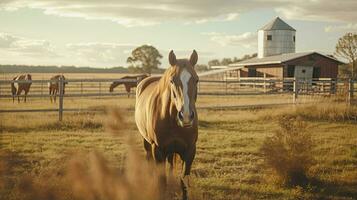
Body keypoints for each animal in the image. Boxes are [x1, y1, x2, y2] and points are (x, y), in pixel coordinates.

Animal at [135, 50, 199, 200]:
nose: (186, 116)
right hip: (147, 142)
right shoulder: (158, 150)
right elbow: (161, 182)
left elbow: (184, 182)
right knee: (149, 158)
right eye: (172, 80)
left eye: (196, 79)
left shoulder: (190, 151)